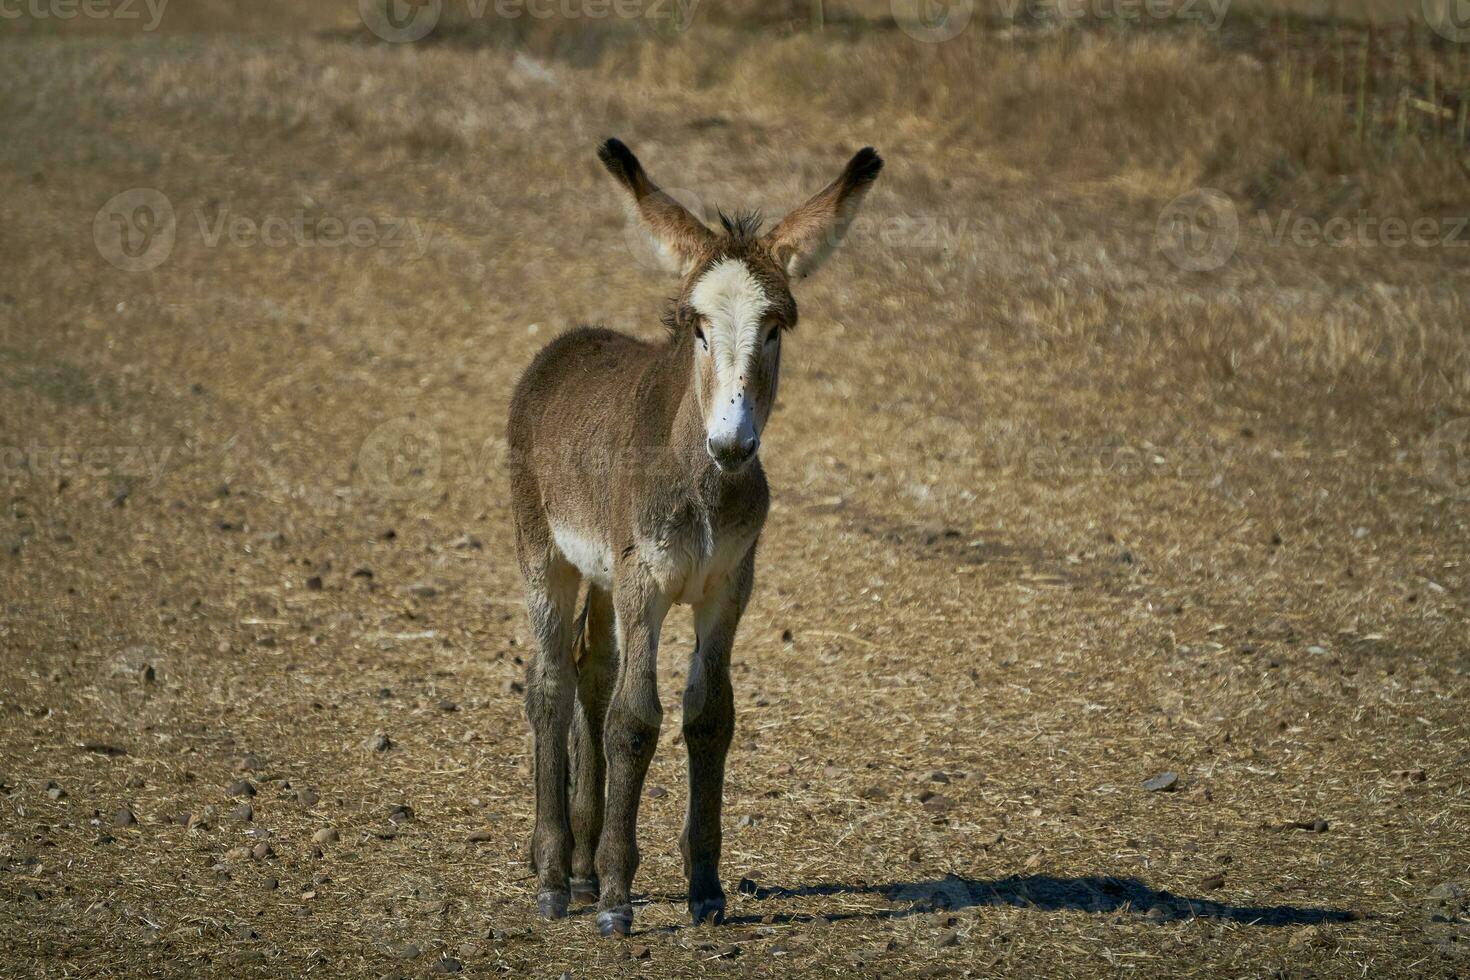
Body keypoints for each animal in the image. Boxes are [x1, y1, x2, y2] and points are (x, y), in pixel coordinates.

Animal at [511, 135, 876, 934]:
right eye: (697, 328)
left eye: (775, 329)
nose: (732, 445)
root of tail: (568, 343)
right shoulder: (646, 579)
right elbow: (635, 720)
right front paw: (618, 898)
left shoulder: (727, 587)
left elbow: (709, 717)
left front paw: (704, 887)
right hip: (546, 556)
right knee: (551, 684)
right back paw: (556, 876)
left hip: (602, 572)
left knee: (591, 671)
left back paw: (579, 867)